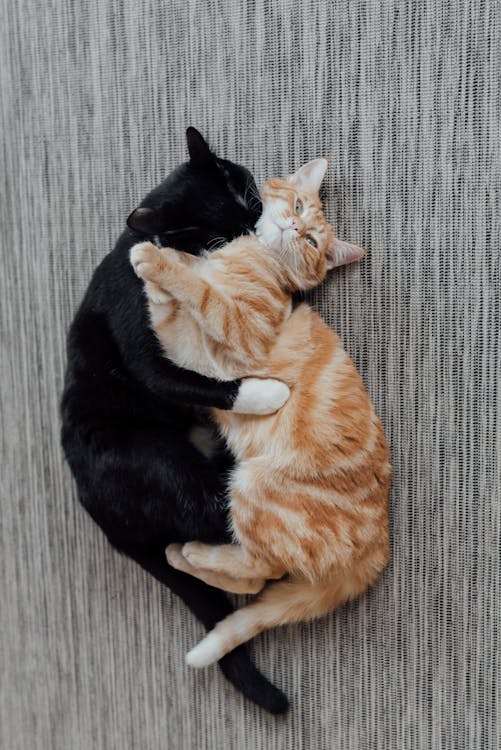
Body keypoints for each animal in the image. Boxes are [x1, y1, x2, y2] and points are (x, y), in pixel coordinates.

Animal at [61, 129, 290, 716]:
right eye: (217, 236)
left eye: (243, 191)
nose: (256, 229)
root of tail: (94, 510)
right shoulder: (149, 357)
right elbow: (198, 381)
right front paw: (266, 392)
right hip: (164, 468)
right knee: (222, 527)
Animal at [130, 160, 390, 668]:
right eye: (298, 206)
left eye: (313, 242)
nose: (295, 228)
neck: (254, 256)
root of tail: (379, 544)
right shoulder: (183, 344)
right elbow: (171, 301)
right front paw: (161, 253)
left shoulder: (239, 334)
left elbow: (201, 293)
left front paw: (154, 258)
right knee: (255, 578)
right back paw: (182, 554)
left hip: (254, 486)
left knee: (258, 572)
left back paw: (190, 553)